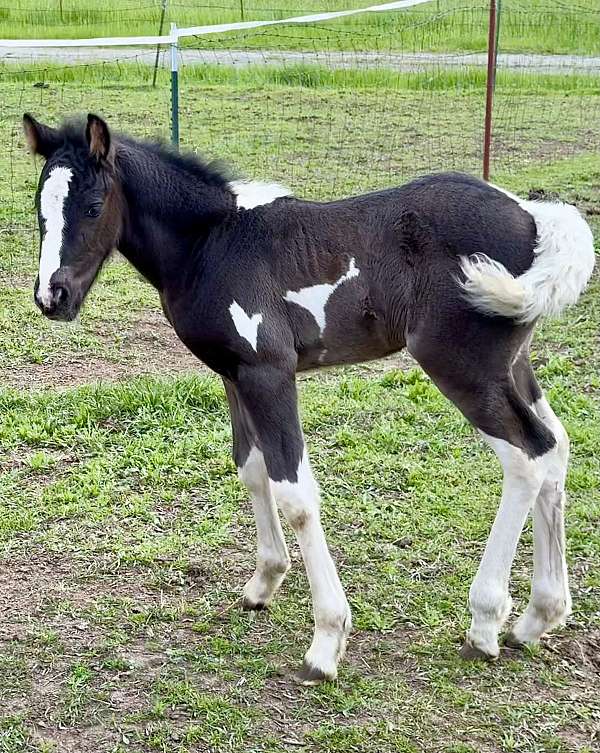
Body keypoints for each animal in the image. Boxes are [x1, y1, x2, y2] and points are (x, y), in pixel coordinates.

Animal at [23, 112, 595, 684]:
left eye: (93, 206)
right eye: (37, 207)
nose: (52, 297)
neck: (213, 244)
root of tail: (534, 218)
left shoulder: (269, 372)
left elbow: (295, 494)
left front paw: (326, 641)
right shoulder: (235, 374)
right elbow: (252, 469)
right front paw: (264, 583)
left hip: (463, 366)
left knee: (527, 455)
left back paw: (485, 624)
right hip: (512, 365)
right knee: (556, 446)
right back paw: (538, 617)